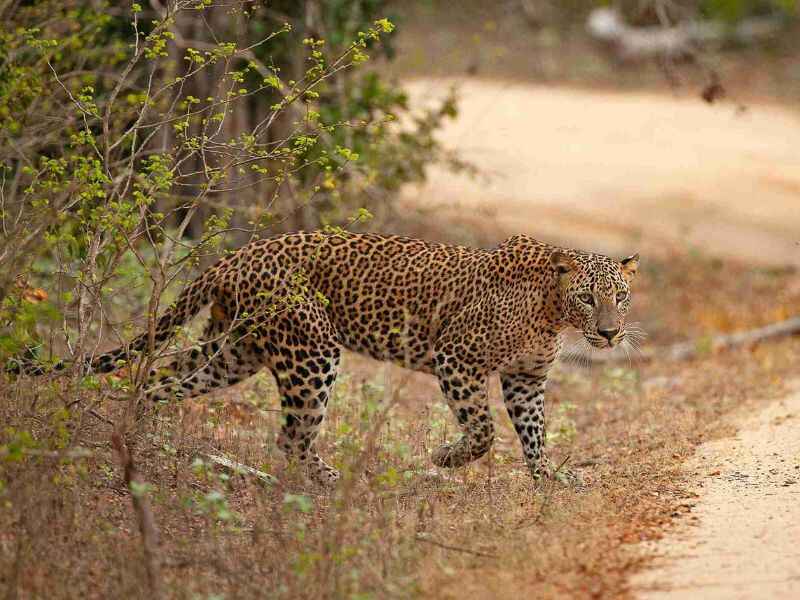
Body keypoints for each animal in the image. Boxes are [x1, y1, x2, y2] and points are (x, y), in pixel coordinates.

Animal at [14, 232, 636, 486]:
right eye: (588, 297)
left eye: (620, 296)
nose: (609, 334)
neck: (552, 312)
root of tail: (238, 255)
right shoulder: (456, 357)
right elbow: (483, 431)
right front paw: (446, 459)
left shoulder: (525, 380)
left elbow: (534, 433)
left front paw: (548, 478)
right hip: (311, 352)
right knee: (291, 436)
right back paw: (332, 480)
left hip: (233, 350)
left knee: (158, 381)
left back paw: (135, 438)